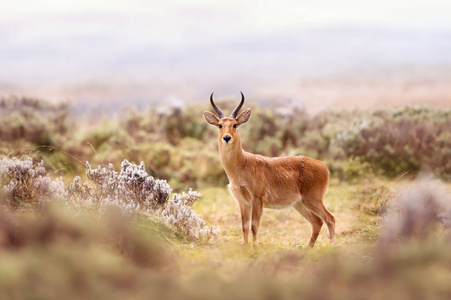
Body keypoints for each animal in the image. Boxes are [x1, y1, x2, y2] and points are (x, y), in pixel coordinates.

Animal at [204, 92, 336, 247]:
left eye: (235, 124)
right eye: (220, 125)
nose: (226, 138)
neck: (242, 164)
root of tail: (323, 166)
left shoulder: (257, 199)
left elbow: (254, 226)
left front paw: (255, 247)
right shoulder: (243, 202)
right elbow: (244, 226)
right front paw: (245, 247)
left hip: (312, 200)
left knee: (330, 219)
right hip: (300, 204)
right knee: (317, 222)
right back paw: (308, 248)